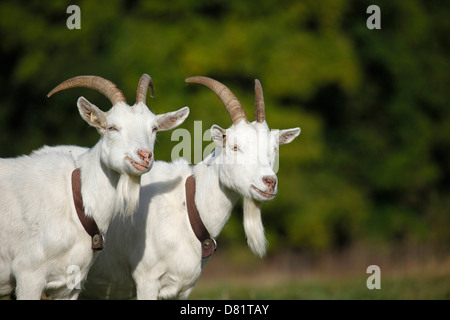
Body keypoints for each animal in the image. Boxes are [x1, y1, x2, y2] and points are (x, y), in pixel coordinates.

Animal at [0, 74, 189, 298]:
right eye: (112, 127)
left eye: (153, 128)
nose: (144, 156)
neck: (76, 201)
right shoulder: (28, 273)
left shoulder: (69, 283)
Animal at [79, 77, 300, 300]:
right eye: (235, 147)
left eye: (273, 149)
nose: (269, 181)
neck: (186, 207)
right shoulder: (146, 279)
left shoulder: (184, 288)